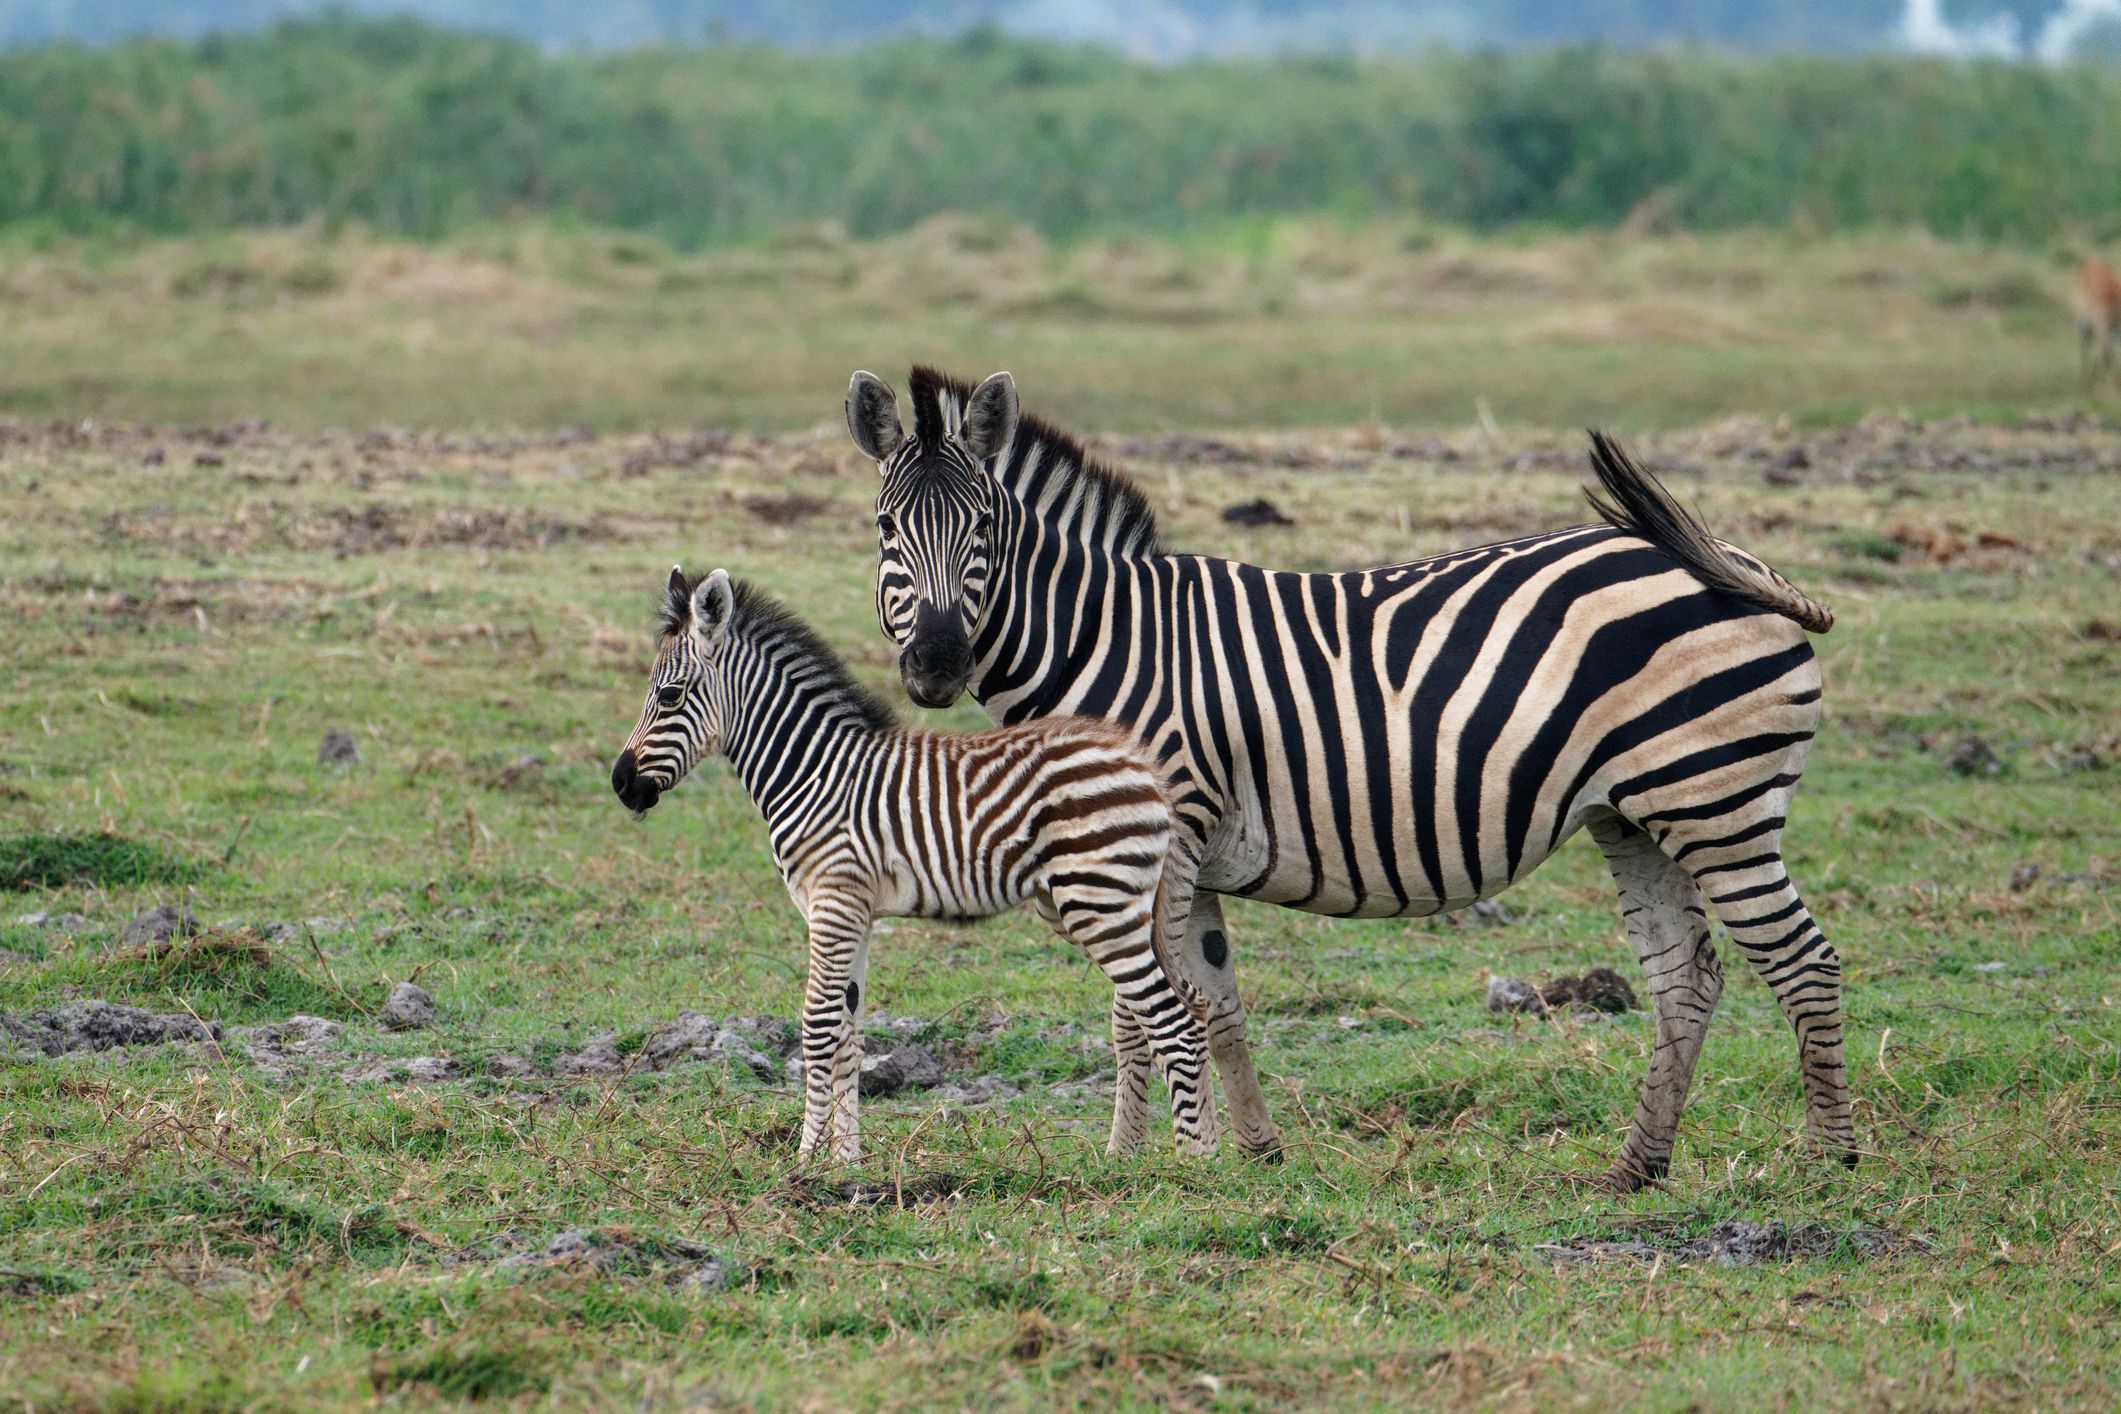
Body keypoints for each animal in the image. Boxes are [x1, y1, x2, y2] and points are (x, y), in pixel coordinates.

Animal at [610, 565, 1218, 1163]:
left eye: (668, 695)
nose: (619, 785)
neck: (814, 769)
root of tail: (1144, 768)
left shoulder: (833, 901)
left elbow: (818, 1028)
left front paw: (805, 1161)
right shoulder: (853, 913)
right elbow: (849, 1036)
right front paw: (845, 1161)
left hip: (1100, 901)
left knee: (1171, 1020)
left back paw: (1191, 1168)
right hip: (1107, 903)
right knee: (1191, 1006)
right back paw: (1213, 1154)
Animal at [845, 365, 1855, 1188]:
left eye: (982, 527)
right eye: (886, 528)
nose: (934, 666)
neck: (1107, 641)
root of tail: (1743, 565)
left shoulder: (1157, 837)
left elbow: (1141, 1005)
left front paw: (1136, 1159)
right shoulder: (1186, 850)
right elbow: (1215, 999)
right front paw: (1252, 1152)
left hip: (1715, 802)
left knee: (1801, 961)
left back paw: (1825, 1159)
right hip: (1636, 816)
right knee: (1686, 977)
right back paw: (1635, 1167)